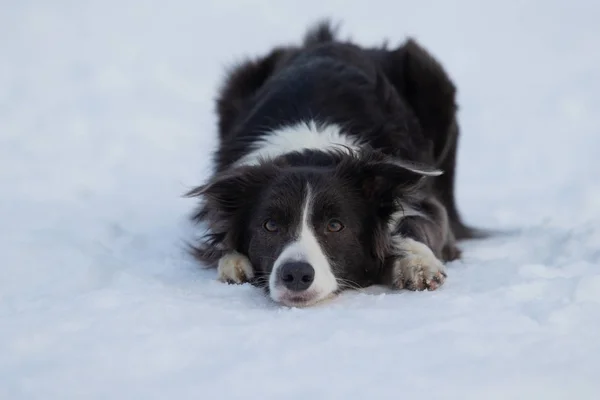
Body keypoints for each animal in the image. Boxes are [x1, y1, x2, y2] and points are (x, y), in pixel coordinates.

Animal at [185, 18, 486, 306]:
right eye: (270, 226)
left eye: (334, 226)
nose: (295, 274)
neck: (311, 150)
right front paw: (233, 262)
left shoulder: (419, 195)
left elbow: (419, 223)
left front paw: (416, 262)